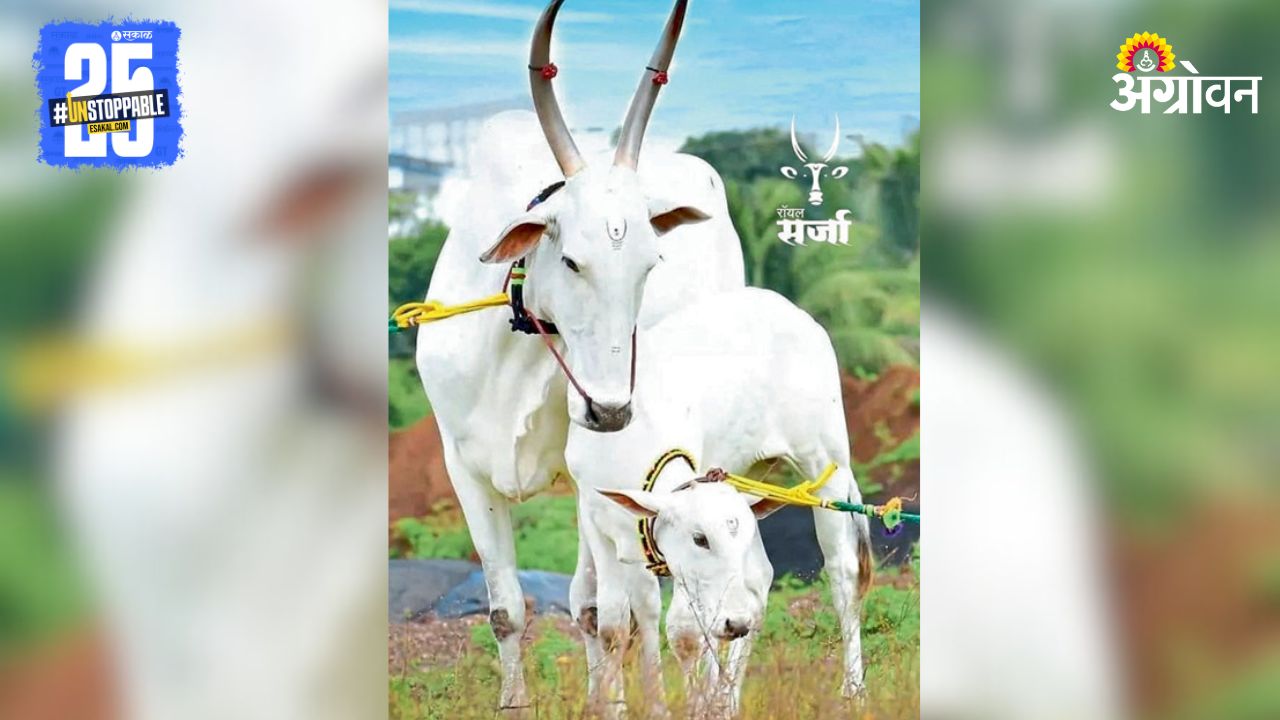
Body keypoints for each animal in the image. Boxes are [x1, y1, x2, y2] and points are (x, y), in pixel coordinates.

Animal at [414, 0, 745, 711]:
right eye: (570, 258)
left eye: (651, 263)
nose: (611, 410)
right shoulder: (462, 465)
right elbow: (506, 610)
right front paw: (515, 704)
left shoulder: (596, 478)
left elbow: (602, 613)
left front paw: (612, 704)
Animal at [567, 287, 875, 717]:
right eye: (700, 538)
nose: (736, 623)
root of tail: (791, 311)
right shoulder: (599, 525)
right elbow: (613, 625)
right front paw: (618, 707)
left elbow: (685, 633)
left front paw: (697, 705)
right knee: (758, 582)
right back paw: (726, 698)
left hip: (827, 466)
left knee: (841, 575)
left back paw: (852, 691)